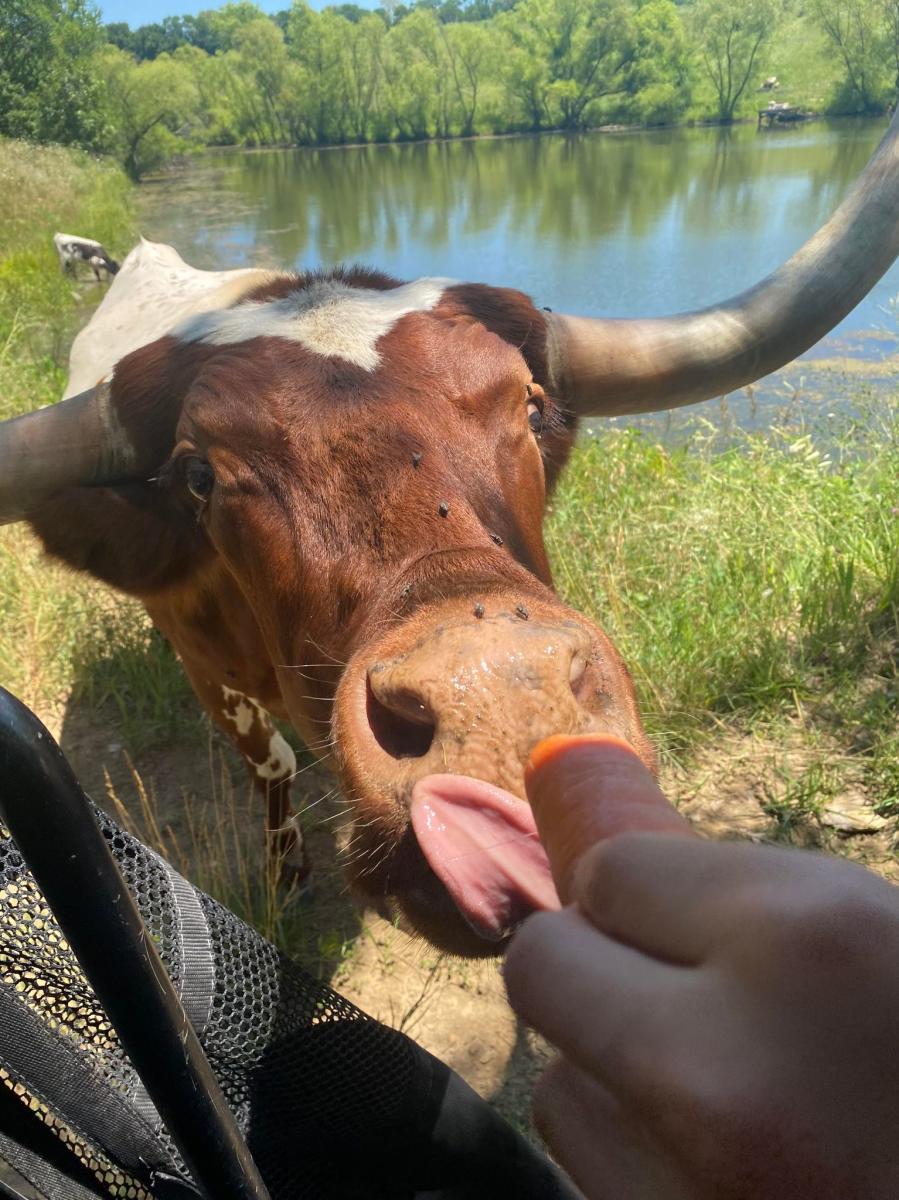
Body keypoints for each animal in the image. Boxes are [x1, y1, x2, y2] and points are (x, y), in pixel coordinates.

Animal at [1, 114, 897, 955]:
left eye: (531, 406)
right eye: (199, 474)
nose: (502, 705)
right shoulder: (205, 667)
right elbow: (272, 764)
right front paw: (287, 872)